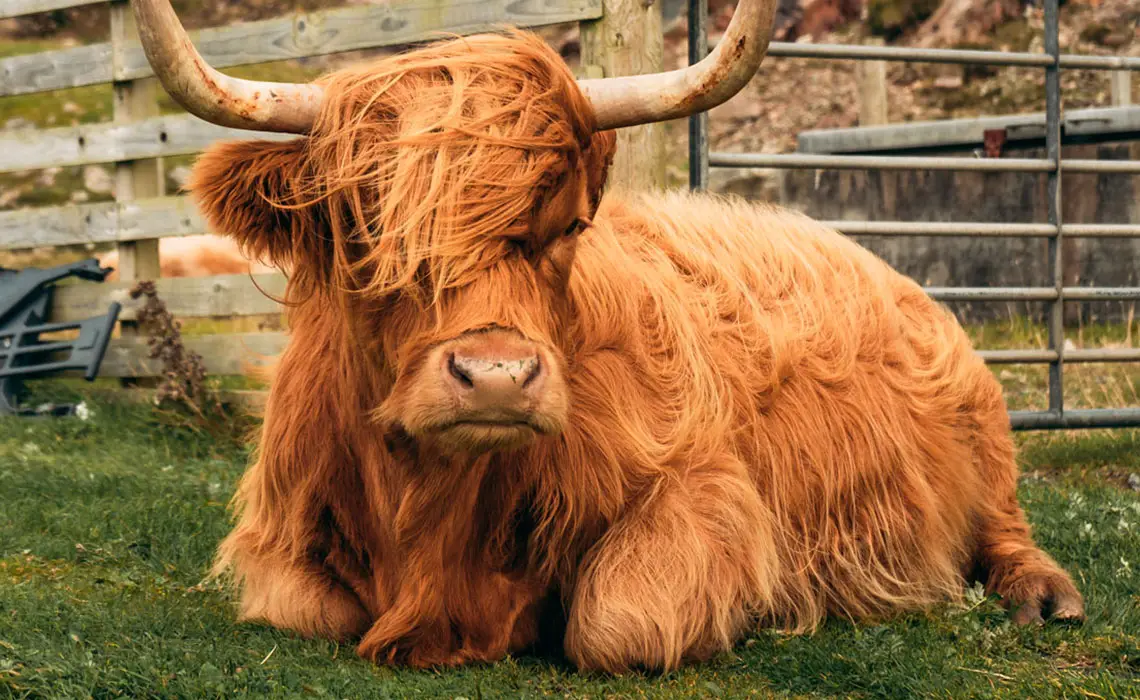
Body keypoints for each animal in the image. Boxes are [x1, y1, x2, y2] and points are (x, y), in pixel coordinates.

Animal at [131, 0, 1085, 674]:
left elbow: (619, 621)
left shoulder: (705, 491)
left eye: (567, 224)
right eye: (368, 228)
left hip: (985, 430)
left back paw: (1045, 596)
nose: (498, 374)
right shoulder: (280, 538)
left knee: (1006, 526)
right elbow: (308, 610)